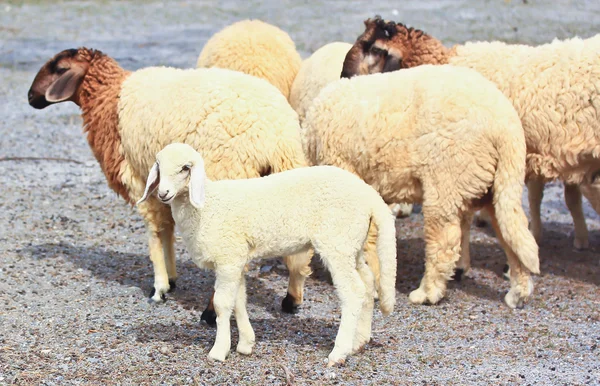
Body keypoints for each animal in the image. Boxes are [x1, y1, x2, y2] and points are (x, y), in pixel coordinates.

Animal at [26, 47, 312, 322]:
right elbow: (168, 229)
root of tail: (275, 137)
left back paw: (210, 314)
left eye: (59, 68)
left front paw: (159, 287)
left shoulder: (140, 178)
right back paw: (292, 299)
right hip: (287, 173)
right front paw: (172, 278)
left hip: (231, 177)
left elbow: (156, 231)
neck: (109, 99)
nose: (30, 97)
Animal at [137, 143, 398, 366]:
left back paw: (339, 352)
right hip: (353, 243)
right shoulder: (236, 259)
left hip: (337, 242)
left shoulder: (228, 258)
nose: (163, 193)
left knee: (353, 291)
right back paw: (359, 342)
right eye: (158, 165)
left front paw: (219, 350)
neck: (207, 207)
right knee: (367, 283)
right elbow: (239, 301)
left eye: (185, 168)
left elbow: (222, 304)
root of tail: (369, 194)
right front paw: (245, 344)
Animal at [302, 65, 540, 310]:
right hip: (495, 181)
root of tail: (505, 123)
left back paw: (427, 293)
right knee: (511, 229)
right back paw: (518, 293)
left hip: (447, 174)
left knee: (444, 240)